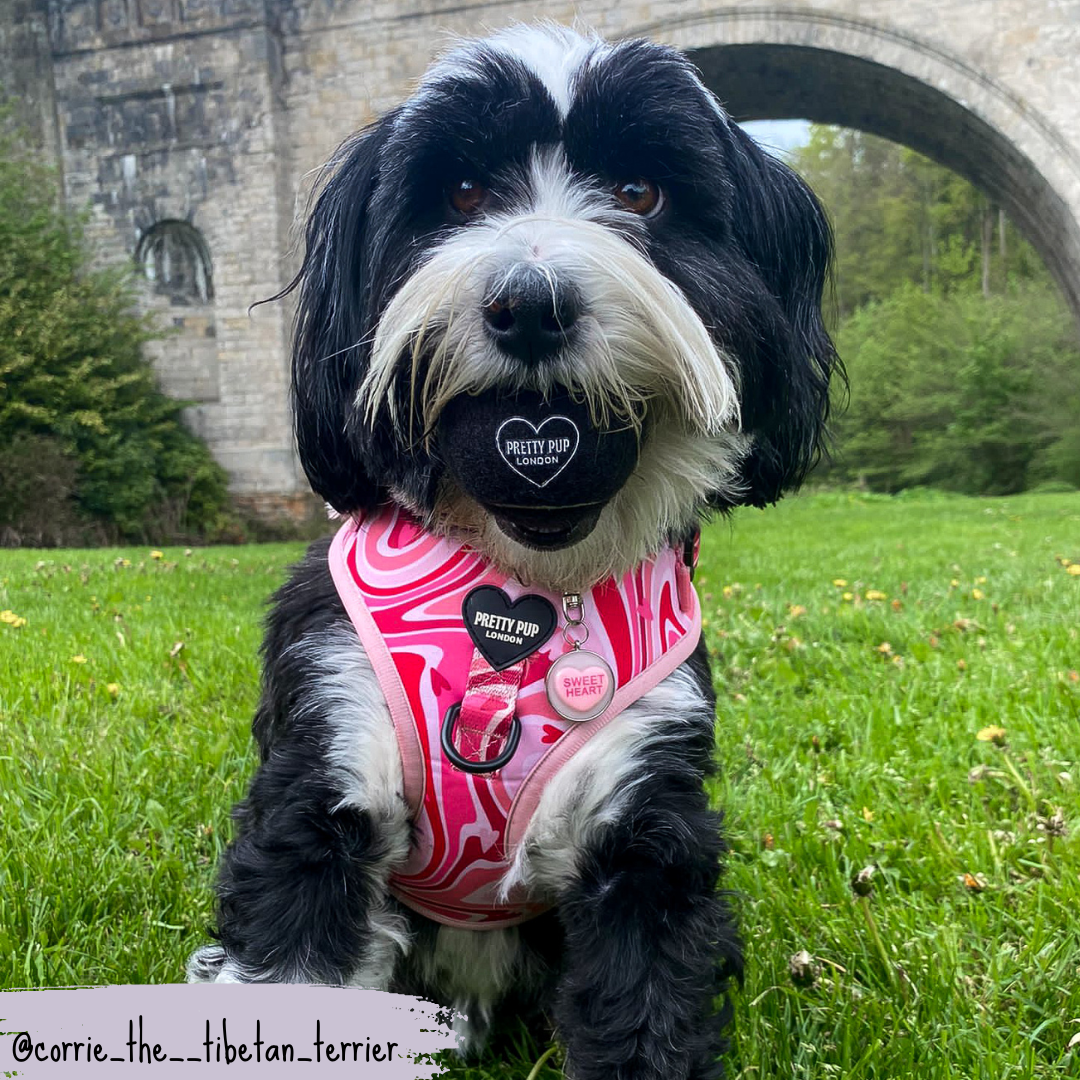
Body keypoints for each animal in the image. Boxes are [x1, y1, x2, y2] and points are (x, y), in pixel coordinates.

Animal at [190, 25, 838, 1080]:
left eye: (639, 193)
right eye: (460, 196)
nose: (529, 303)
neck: (527, 584)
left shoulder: (644, 828)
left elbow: (647, 1008)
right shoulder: (321, 777)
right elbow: (294, 963)